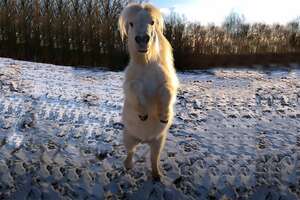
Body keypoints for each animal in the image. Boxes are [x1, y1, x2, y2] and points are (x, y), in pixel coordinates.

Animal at [118, 2, 178, 181]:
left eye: (152, 22)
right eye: (131, 23)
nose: (142, 40)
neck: (147, 65)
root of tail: (143, 140)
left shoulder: (167, 83)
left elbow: (166, 91)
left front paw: (164, 116)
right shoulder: (130, 86)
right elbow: (136, 88)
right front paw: (143, 114)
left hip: (158, 142)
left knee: (154, 158)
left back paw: (157, 175)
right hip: (129, 138)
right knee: (130, 152)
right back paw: (128, 166)